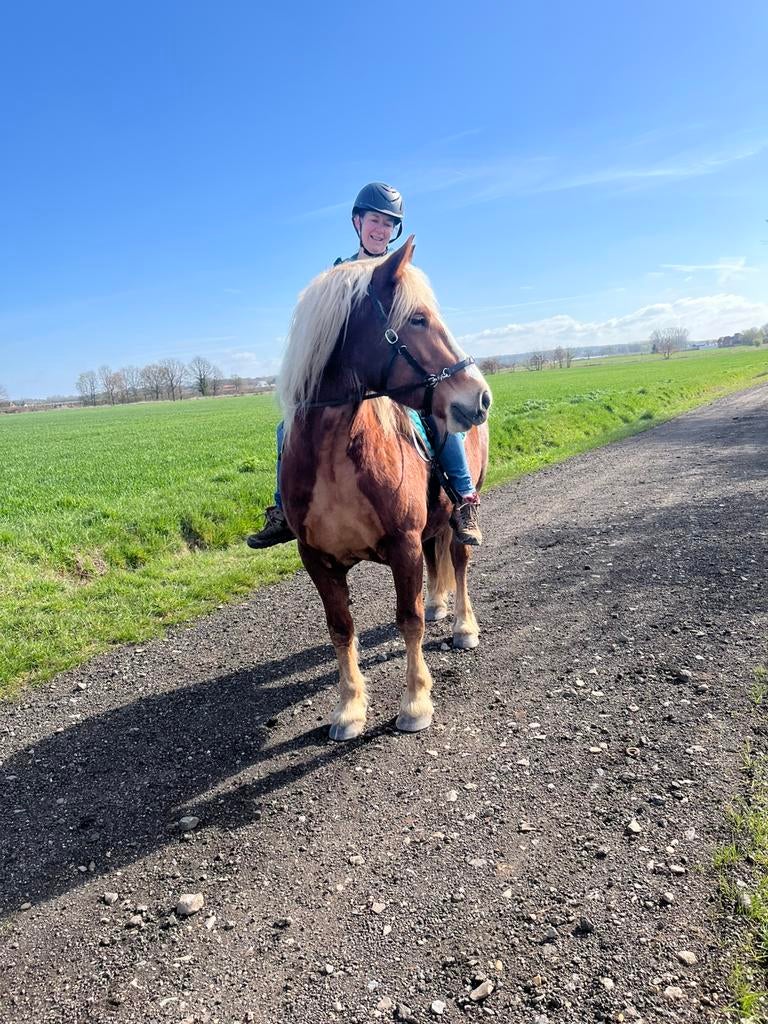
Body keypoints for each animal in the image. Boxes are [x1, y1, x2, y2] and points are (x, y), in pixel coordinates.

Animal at [278, 237, 492, 740]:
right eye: (417, 319)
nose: (480, 397)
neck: (334, 454)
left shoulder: (402, 545)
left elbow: (407, 621)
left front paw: (415, 703)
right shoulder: (316, 558)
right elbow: (340, 628)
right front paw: (349, 708)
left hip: (461, 512)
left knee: (459, 560)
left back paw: (462, 626)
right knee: (438, 559)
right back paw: (438, 605)